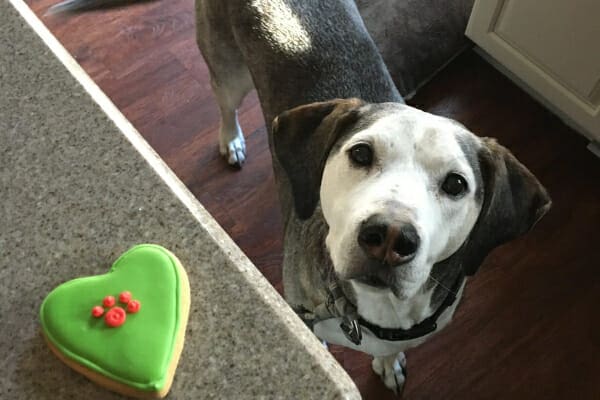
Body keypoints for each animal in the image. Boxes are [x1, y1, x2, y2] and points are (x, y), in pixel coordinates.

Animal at [49, 0, 552, 394]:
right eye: (361, 153)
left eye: (456, 185)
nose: (389, 237)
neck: (374, 314)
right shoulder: (304, 314)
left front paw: (388, 364)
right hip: (227, 68)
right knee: (224, 101)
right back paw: (231, 139)